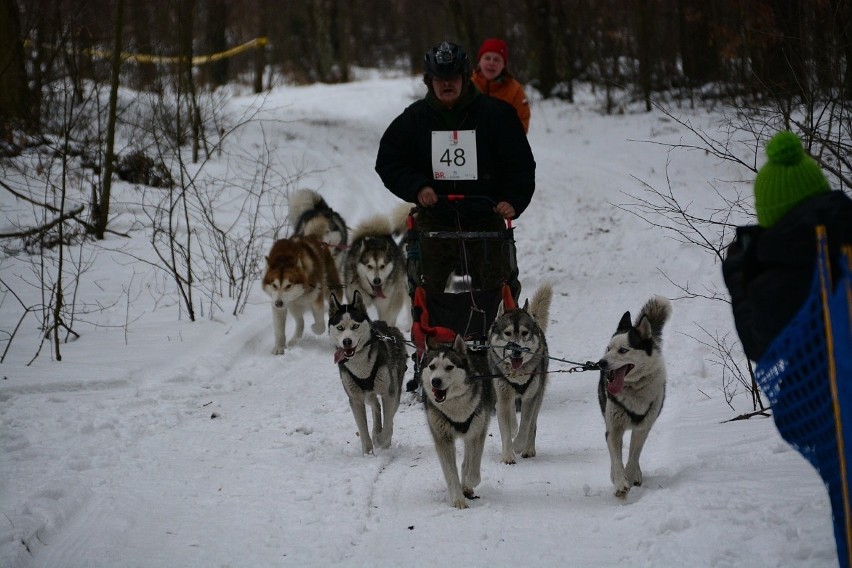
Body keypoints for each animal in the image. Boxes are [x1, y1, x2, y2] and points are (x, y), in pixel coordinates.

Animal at [328, 290, 408, 454]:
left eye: (355, 326)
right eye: (340, 328)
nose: (346, 341)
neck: (361, 367)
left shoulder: (388, 393)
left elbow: (388, 424)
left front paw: (382, 440)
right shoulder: (355, 399)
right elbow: (363, 430)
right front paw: (368, 453)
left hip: (394, 386)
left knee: (388, 413)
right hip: (365, 393)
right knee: (375, 405)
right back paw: (375, 430)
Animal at [422, 336, 496, 508]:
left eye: (449, 367)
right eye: (432, 366)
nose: (435, 381)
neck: (455, 407)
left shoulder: (478, 432)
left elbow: (474, 470)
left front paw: (469, 482)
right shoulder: (443, 438)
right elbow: (451, 474)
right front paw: (458, 499)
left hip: (474, 429)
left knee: (468, 460)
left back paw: (467, 484)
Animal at [486, 282, 552, 464]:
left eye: (524, 333)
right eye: (507, 333)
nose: (516, 351)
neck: (517, 375)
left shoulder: (530, 398)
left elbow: (526, 425)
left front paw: (518, 446)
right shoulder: (502, 397)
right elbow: (506, 430)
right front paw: (508, 456)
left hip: (538, 395)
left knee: (532, 425)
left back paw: (528, 449)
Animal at [600, 298, 672, 496]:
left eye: (623, 350)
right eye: (608, 348)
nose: (601, 363)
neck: (633, 388)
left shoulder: (643, 427)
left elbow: (633, 456)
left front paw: (630, 476)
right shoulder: (613, 428)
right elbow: (616, 457)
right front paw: (619, 482)